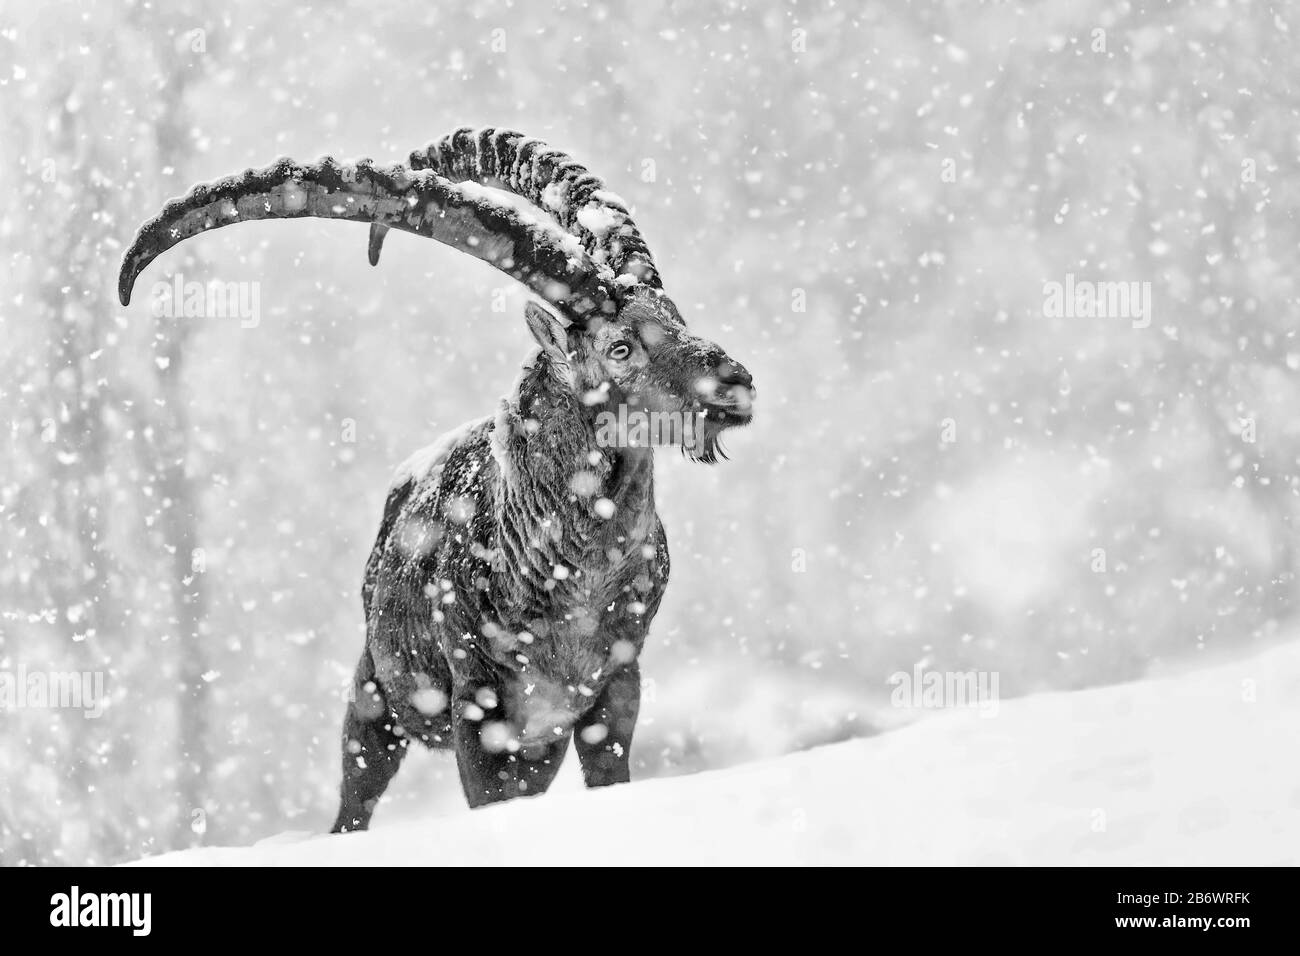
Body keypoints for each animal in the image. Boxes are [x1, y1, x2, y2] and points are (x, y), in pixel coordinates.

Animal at [117, 127, 756, 832]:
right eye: (620, 346)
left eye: (676, 318)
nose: (735, 383)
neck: (571, 579)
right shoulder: (478, 704)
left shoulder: (613, 691)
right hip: (375, 697)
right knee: (356, 798)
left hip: (539, 747)